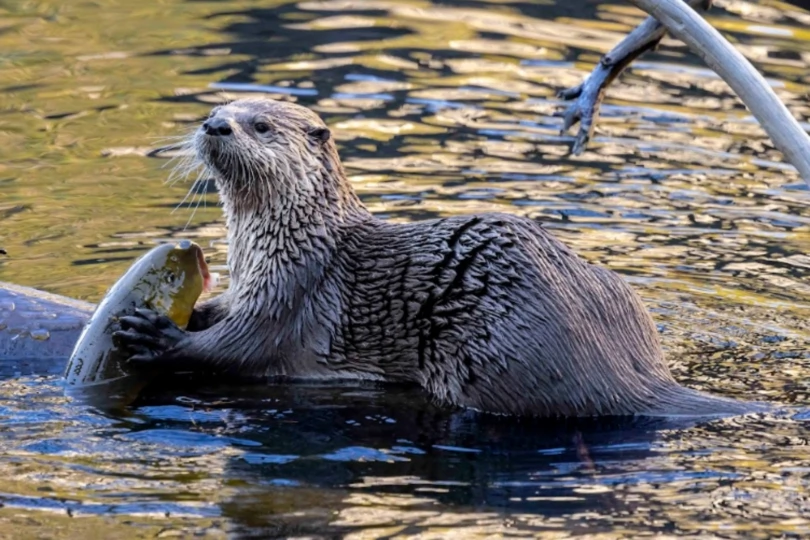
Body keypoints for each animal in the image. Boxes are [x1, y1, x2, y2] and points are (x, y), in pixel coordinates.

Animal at [113, 97, 767, 417]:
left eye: (262, 124)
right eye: (213, 113)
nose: (216, 125)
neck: (280, 239)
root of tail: (631, 373)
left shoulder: (293, 290)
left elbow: (239, 349)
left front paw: (159, 338)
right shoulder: (256, 280)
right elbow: (222, 315)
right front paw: (193, 311)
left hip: (500, 356)